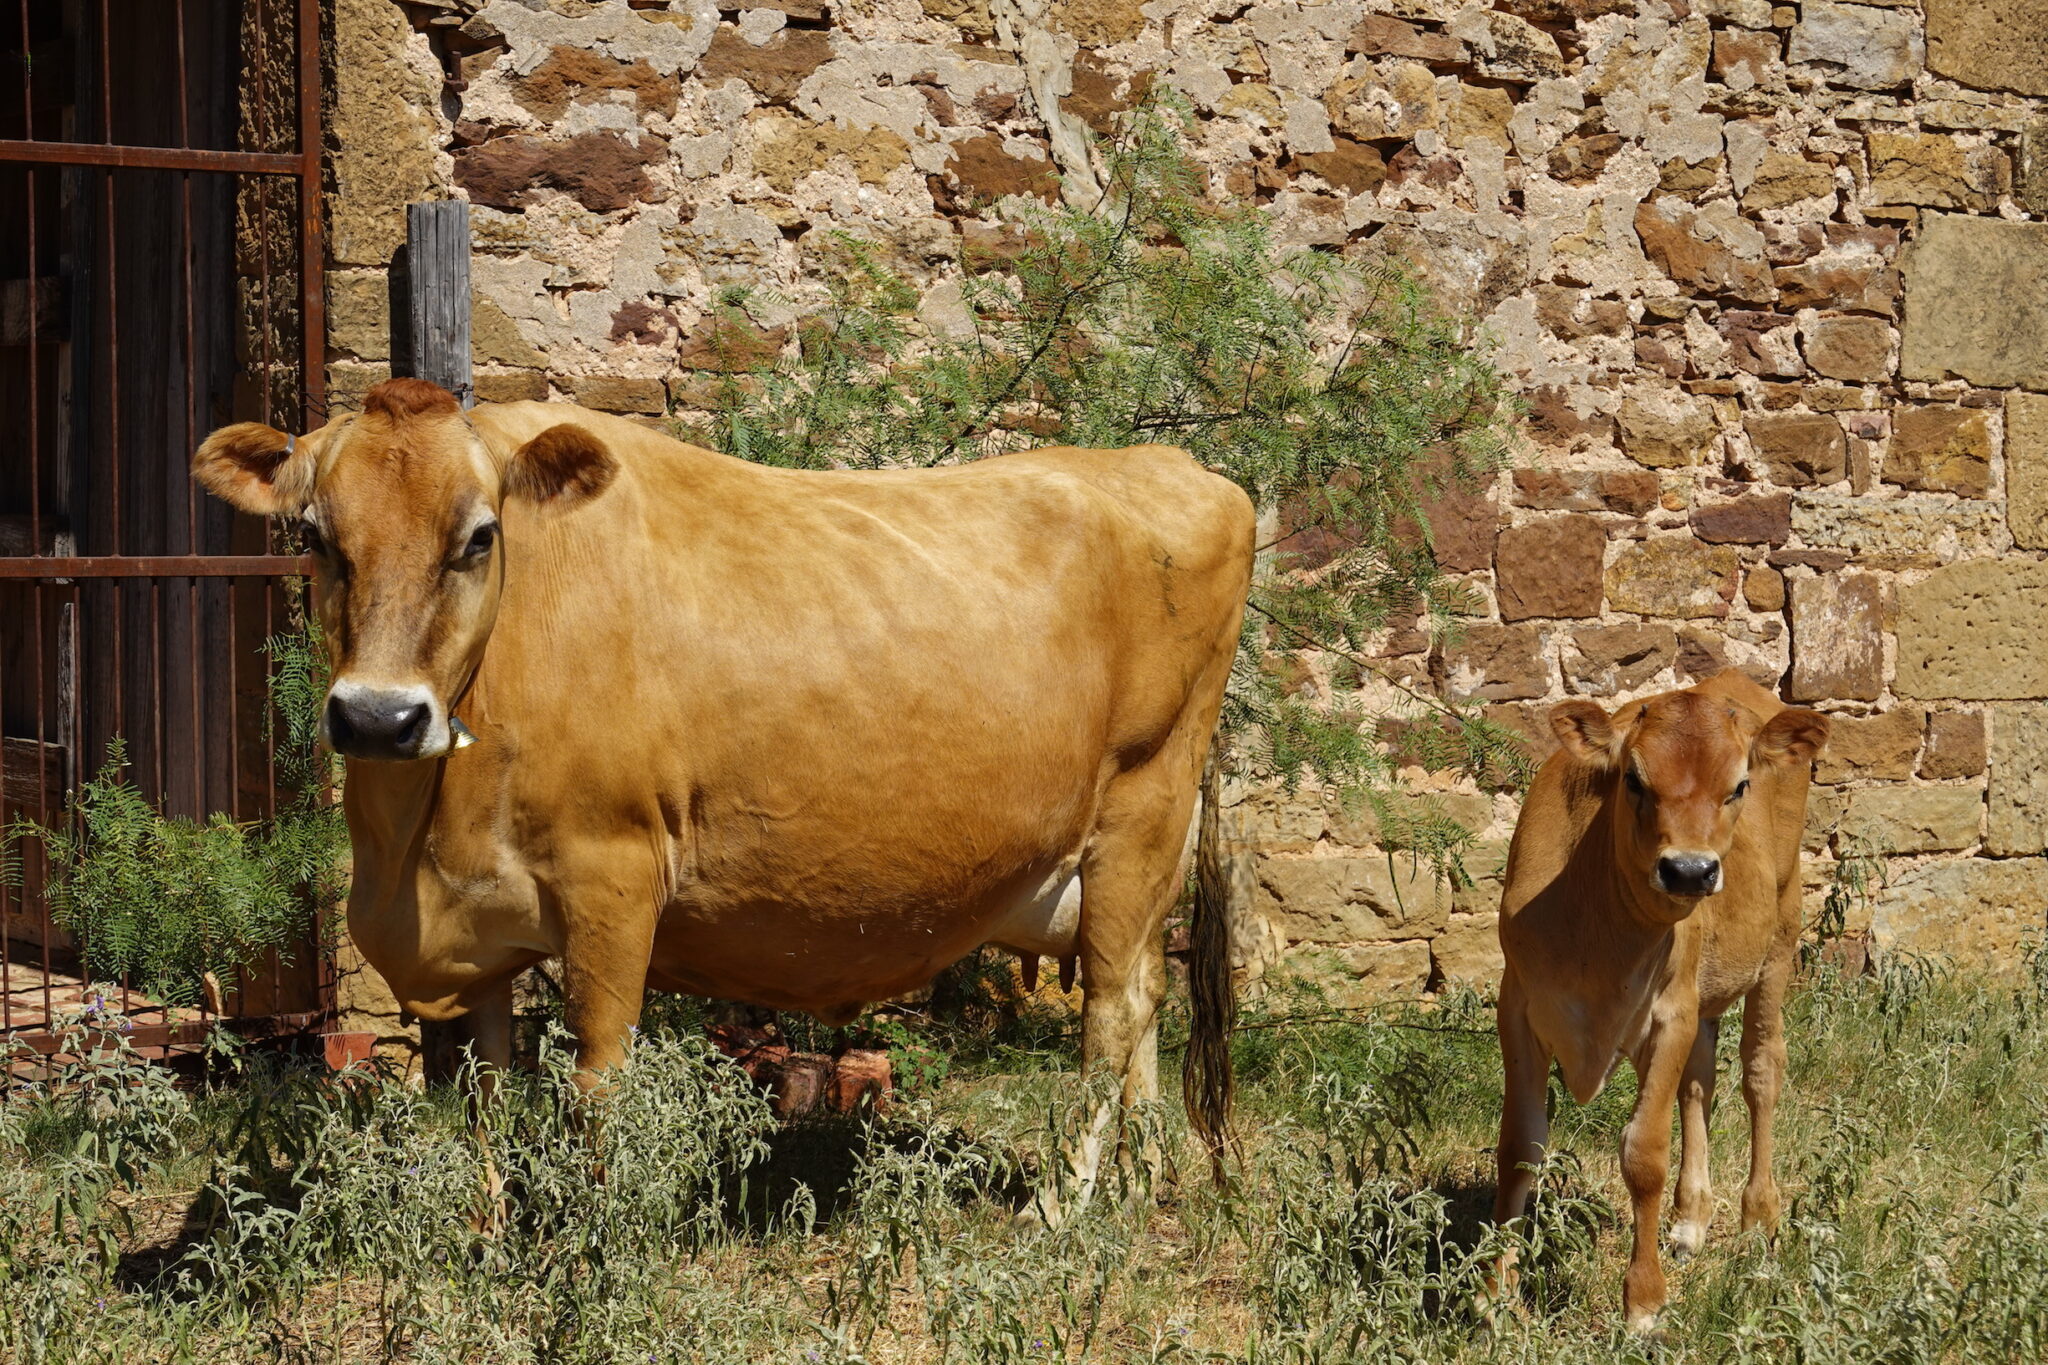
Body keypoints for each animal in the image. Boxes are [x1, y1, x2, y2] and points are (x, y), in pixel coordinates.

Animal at [195, 378, 1245, 1211]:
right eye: (314, 534)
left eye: (480, 536)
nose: (378, 717)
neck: (415, 846)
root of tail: (1175, 467)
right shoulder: (481, 926)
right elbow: (486, 1090)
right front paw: (489, 1232)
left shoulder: (612, 879)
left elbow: (597, 1085)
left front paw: (590, 1248)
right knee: (1146, 993)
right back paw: (1141, 1184)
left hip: (1141, 807)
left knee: (1112, 1007)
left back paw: (1062, 1206)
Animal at [1490, 671, 1826, 1334]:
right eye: (1634, 779)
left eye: (1739, 785)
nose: (1689, 871)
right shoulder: (1517, 1007)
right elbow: (1519, 1147)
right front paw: (1493, 1294)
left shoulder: (1669, 1012)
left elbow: (1644, 1154)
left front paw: (1643, 1303)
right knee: (1700, 1082)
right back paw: (1691, 1219)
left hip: (1779, 938)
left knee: (1761, 1071)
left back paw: (1757, 1222)